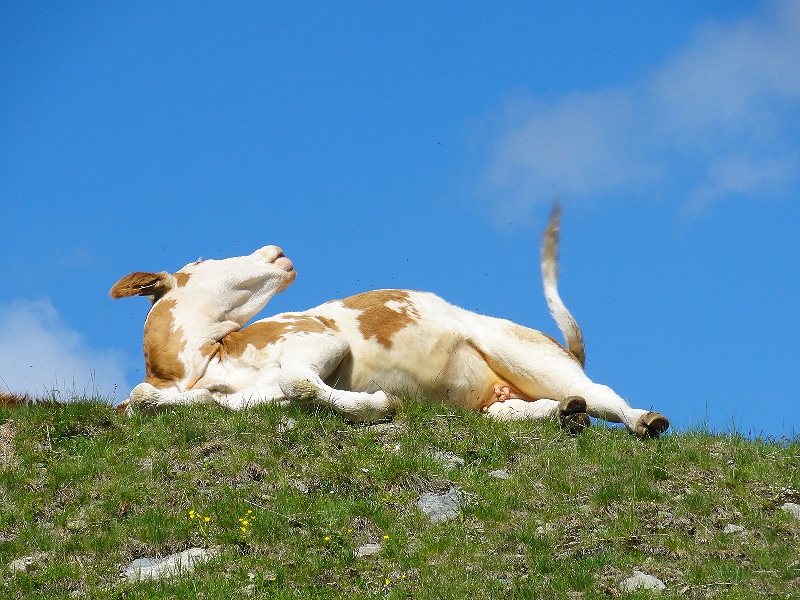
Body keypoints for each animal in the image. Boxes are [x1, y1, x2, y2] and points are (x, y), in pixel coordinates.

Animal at [111, 207, 668, 440]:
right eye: (202, 263)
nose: (274, 248)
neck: (204, 368)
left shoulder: (319, 334)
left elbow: (297, 381)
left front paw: (380, 404)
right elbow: (144, 398)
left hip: (524, 351)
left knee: (601, 394)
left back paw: (644, 420)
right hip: (499, 398)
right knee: (539, 409)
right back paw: (565, 415)